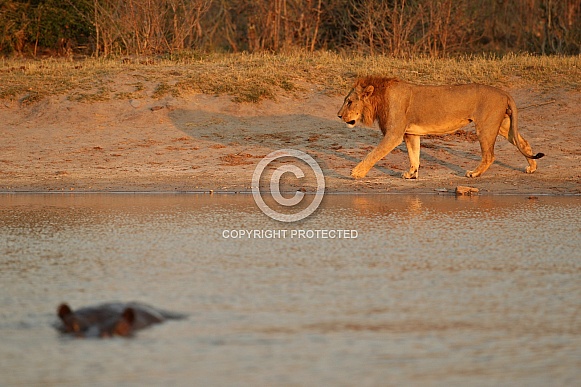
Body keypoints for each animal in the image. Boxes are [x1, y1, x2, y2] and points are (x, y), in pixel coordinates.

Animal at [336, 77, 544, 180]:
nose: (338, 115)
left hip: (485, 126)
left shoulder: (394, 134)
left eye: (349, 102)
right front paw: (411, 174)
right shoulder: (410, 133)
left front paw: (356, 173)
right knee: (523, 143)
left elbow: (373, 154)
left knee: (489, 155)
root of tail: (504, 92)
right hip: (503, 125)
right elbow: (414, 156)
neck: (379, 98)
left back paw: (474, 173)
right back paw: (532, 167)